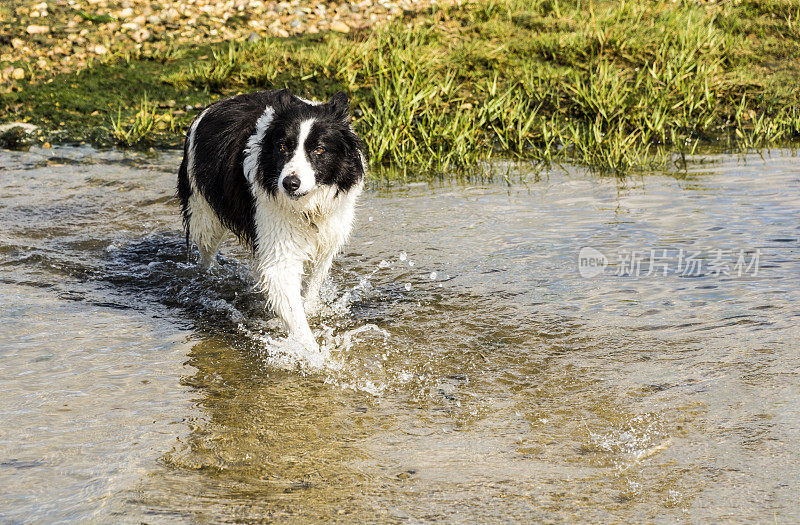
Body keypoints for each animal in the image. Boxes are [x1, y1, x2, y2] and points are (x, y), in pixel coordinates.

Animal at [177, 89, 366, 350]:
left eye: (319, 150)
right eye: (283, 147)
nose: (290, 183)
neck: (307, 205)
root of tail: (212, 106)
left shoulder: (329, 236)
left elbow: (313, 286)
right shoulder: (279, 247)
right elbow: (292, 308)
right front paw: (314, 354)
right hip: (203, 214)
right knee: (206, 254)